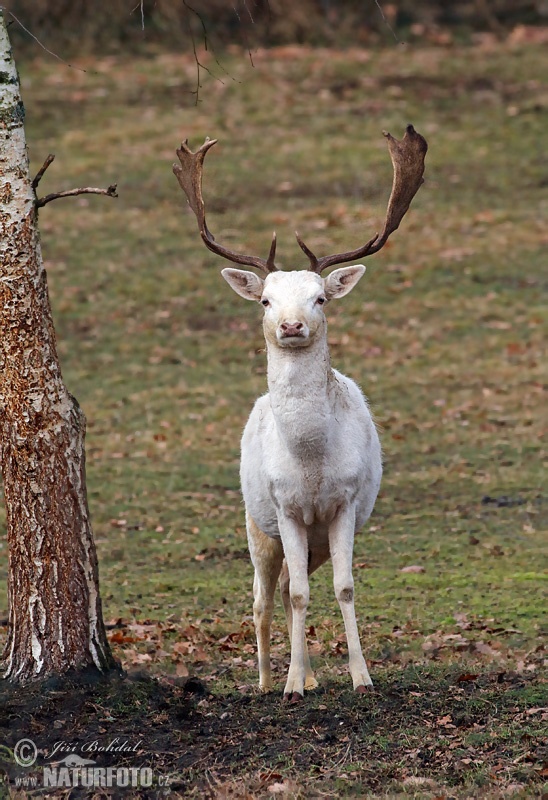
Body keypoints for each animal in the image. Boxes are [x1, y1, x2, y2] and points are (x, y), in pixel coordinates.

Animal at [173, 125, 426, 700]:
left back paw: (307, 672)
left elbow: (344, 588)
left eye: (320, 299)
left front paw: (359, 677)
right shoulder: (284, 507)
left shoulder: (345, 503)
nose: (291, 325)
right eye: (266, 301)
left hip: (311, 538)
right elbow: (295, 597)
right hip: (255, 523)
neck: (311, 461)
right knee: (265, 596)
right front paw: (289, 686)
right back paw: (270, 679)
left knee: (295, 583)